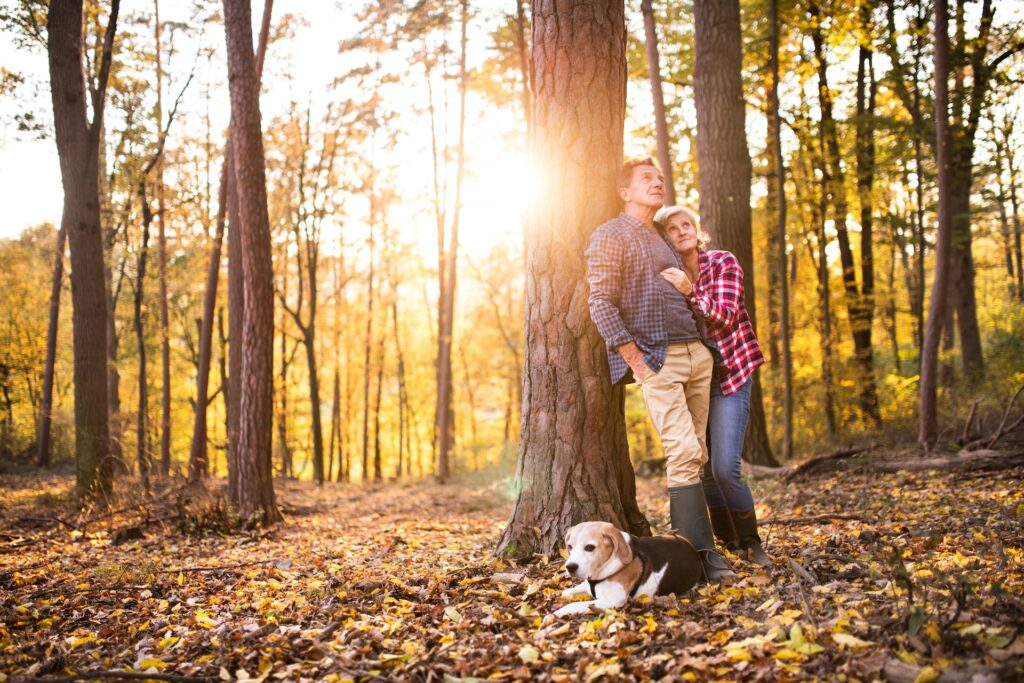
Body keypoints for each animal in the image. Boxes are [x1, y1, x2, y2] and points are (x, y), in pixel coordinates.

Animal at [552, 520, 704, 618]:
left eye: (590, 547)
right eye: (570, 546)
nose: (570, 567)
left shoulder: (612, 600)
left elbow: (573, 605)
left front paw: (555, 614)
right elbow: (568, 592)